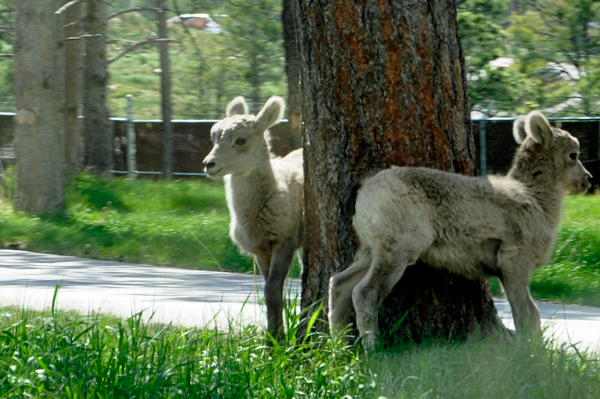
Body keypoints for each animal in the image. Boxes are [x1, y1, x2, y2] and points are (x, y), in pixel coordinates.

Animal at [203, 97, 304, 340]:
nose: (209, 164)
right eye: (214, 137)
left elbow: (272, 288)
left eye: (241, 140)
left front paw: (277, 340)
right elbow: (268, 289)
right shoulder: (260, 250)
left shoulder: (284, 240)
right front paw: (273, 336)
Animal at [330, 111, 592, 348]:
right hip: (396, 250)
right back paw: (373, 350)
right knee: (364, 293)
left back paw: (339, 347)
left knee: (339, 286)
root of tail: (365, 188)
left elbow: (533, 315)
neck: (536, 201)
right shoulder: (514, 264)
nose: (588, 179)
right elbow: (525, 315)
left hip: (370, 251)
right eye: (573, 155)